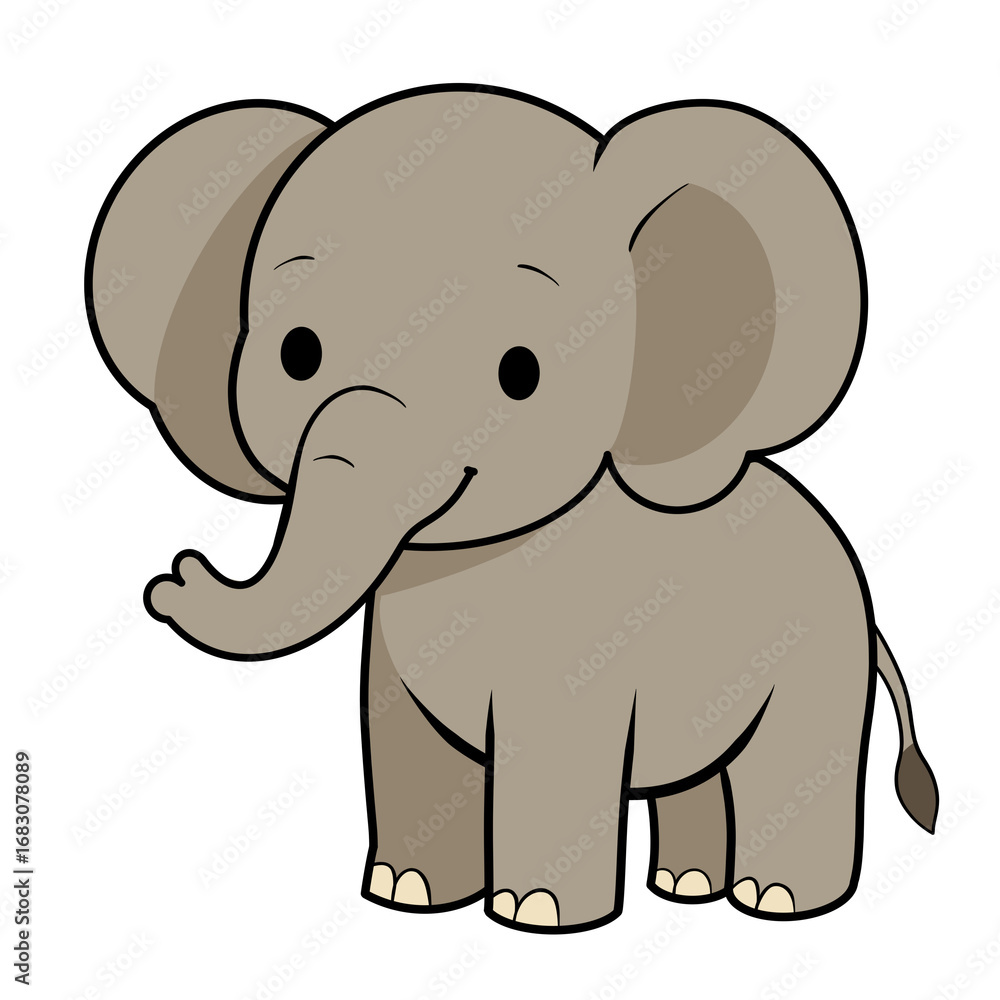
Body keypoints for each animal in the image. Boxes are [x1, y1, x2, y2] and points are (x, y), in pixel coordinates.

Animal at [85, 84, 939, 933]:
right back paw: (686, 886)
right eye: (297, 354)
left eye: (520, 373)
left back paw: (777, 900)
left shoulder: (577, 645)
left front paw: (537, 915)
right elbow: (405, 743)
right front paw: (406, 893)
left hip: (819, 655)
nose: (174, 578)